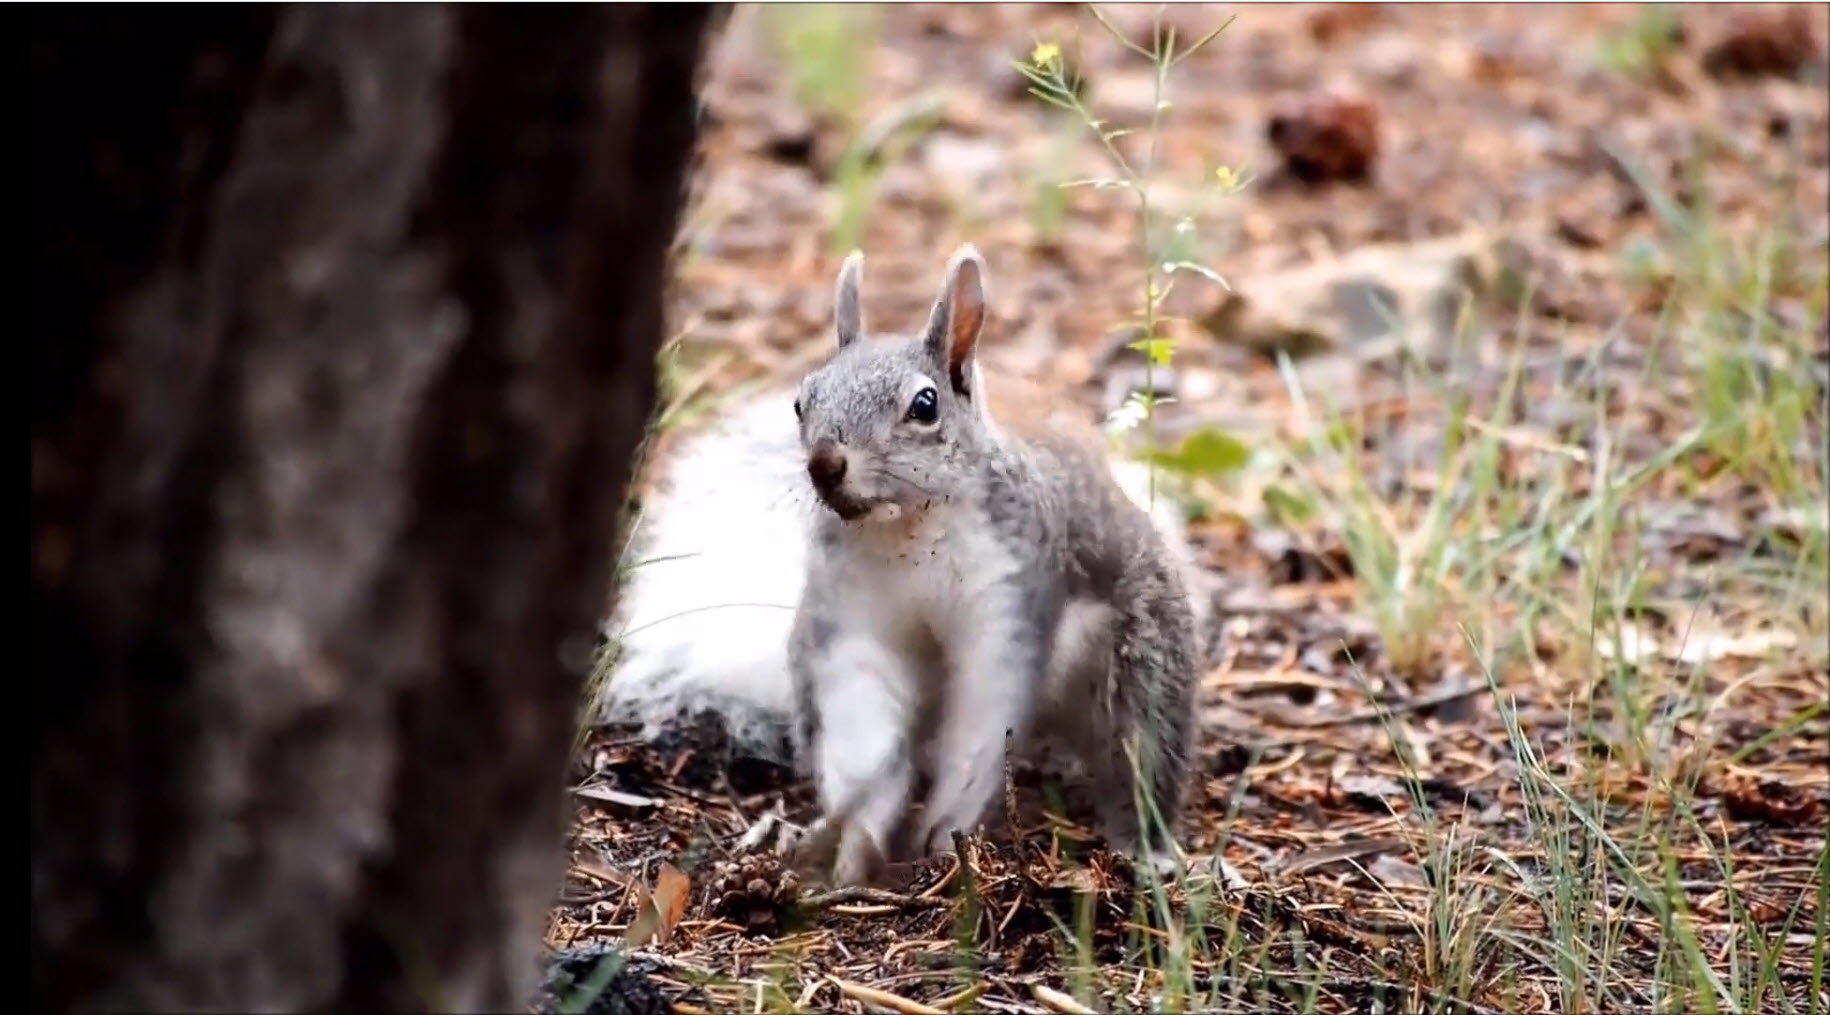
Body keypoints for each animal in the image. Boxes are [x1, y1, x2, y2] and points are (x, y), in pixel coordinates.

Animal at [603, 241, 1215, 885]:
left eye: (925, 405)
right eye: (800, 401)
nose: (825, 463)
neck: (908, 531)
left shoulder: (1006, 608)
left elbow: (981, 725)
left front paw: (945, 836)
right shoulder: (854, 619)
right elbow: (864, 727)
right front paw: (856, 843)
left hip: (1144, 654)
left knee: (1140, 750)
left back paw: (1143, 847)